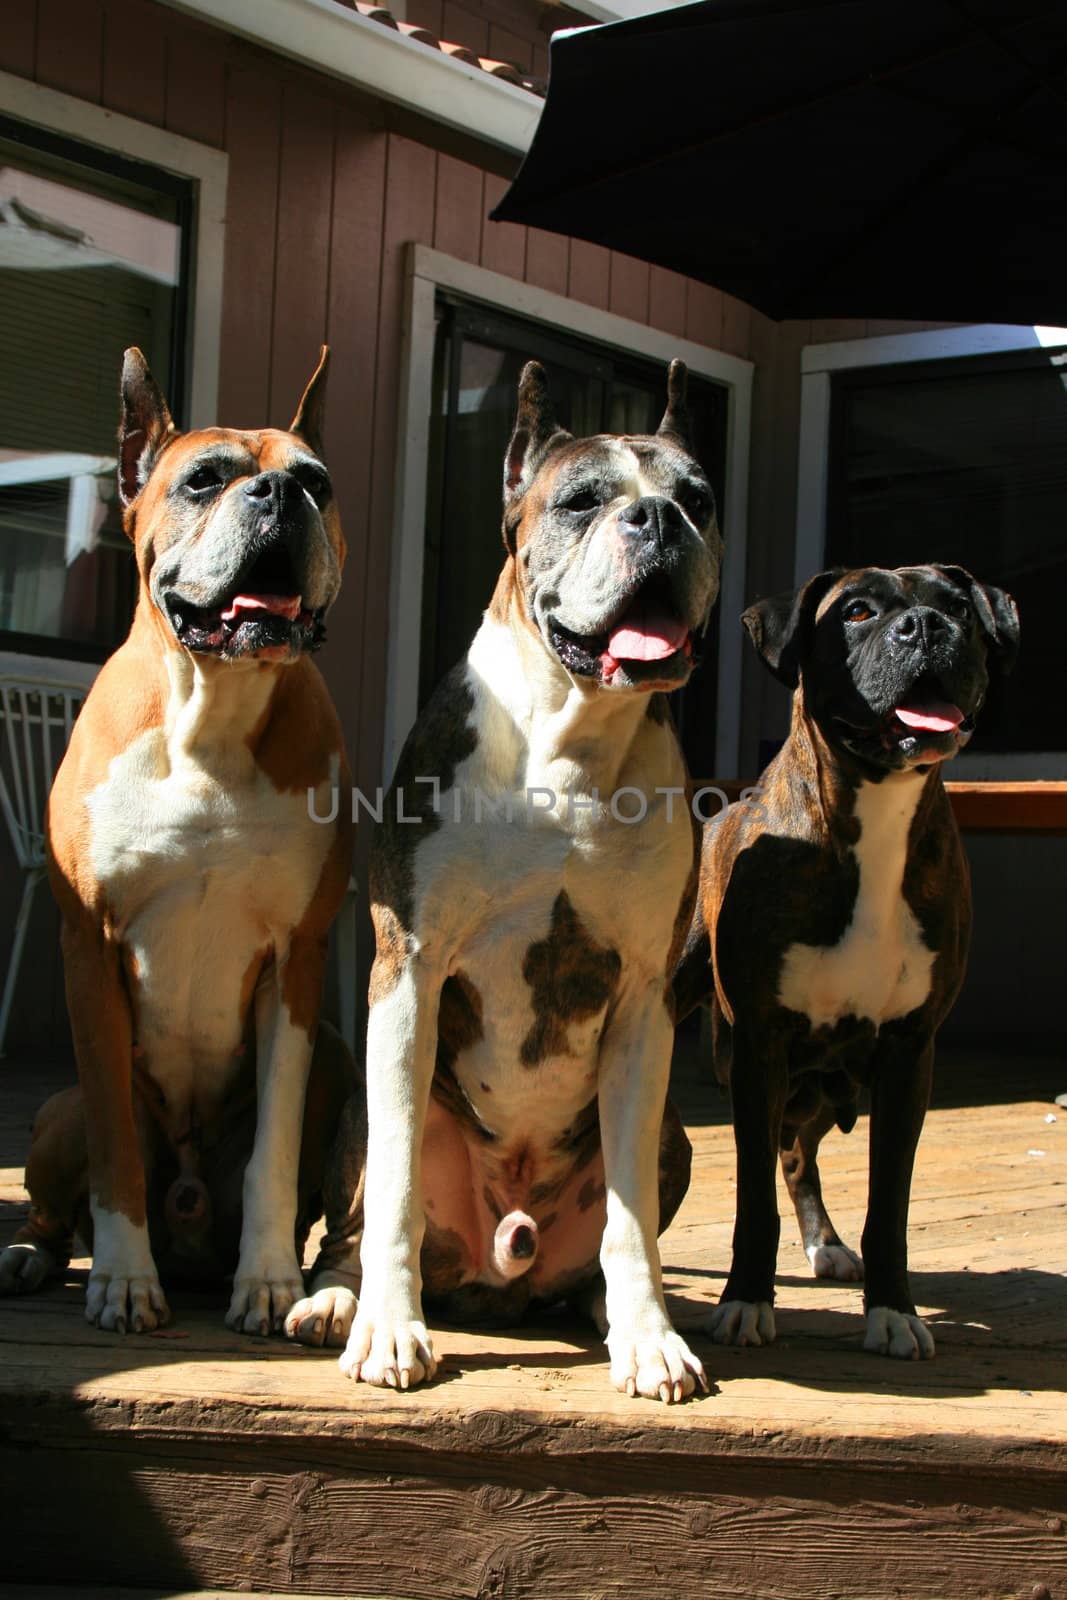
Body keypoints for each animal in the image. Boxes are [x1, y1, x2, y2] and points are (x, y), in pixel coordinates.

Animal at [0, 347, 355, 1337]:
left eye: (318, 481)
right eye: (204, 480)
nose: (280, 493)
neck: (213, 708)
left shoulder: (298, 962)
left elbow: (274, 1148)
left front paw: (268, 1279)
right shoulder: (89, 951)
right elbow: (117, 1150)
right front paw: (123, 1280)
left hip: (340, 1061)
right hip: (58, 1110)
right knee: (57, 1204)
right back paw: (31, 1255)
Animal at [283, 360, 723, 1401]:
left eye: (698, 500)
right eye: (581, 501)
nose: (657, 520)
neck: (571, 737)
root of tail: (499, 1267)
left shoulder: (644, 1004)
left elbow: (630, 1218)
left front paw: (648, 1336)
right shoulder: (408, 970)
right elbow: (396, 1186)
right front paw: (388, 1329)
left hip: (675, 1132)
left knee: (607, 1231)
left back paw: (610, 1311)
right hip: (358, 1111)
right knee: (356, 1220)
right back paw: (338, 1301)